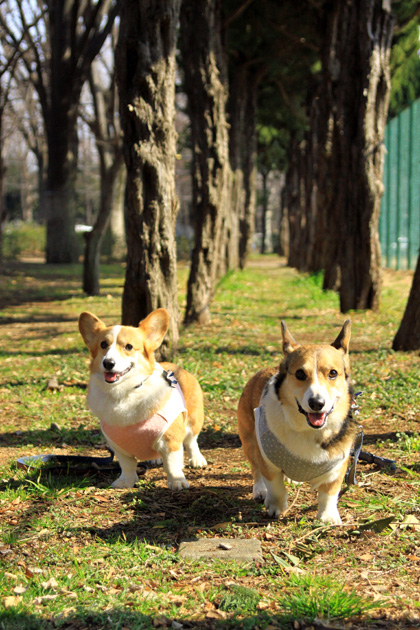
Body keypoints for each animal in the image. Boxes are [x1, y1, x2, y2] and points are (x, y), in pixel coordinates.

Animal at [78, 308, 207, 492]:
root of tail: (178, 367)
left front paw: (176, 482)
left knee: (191, 441)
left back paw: (196, 459)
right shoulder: (119, 447)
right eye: (103, 345)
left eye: (129, 347)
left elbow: (172, 464)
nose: (108, 363)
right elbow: (127, 466)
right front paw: (126, 482)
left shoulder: (171, 440)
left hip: (193, 420)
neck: (125, 392)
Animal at [238, 324, 360, 524]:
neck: (308, 430)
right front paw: (276, 507)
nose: (317, 403)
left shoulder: (338, 465)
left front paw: (327, 517)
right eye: (300, 374)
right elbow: (276, 487)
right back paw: (260, 490)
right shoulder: (268, 461)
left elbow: (329, 492)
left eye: (333, 373)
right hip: (249, 441)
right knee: (255, 468)